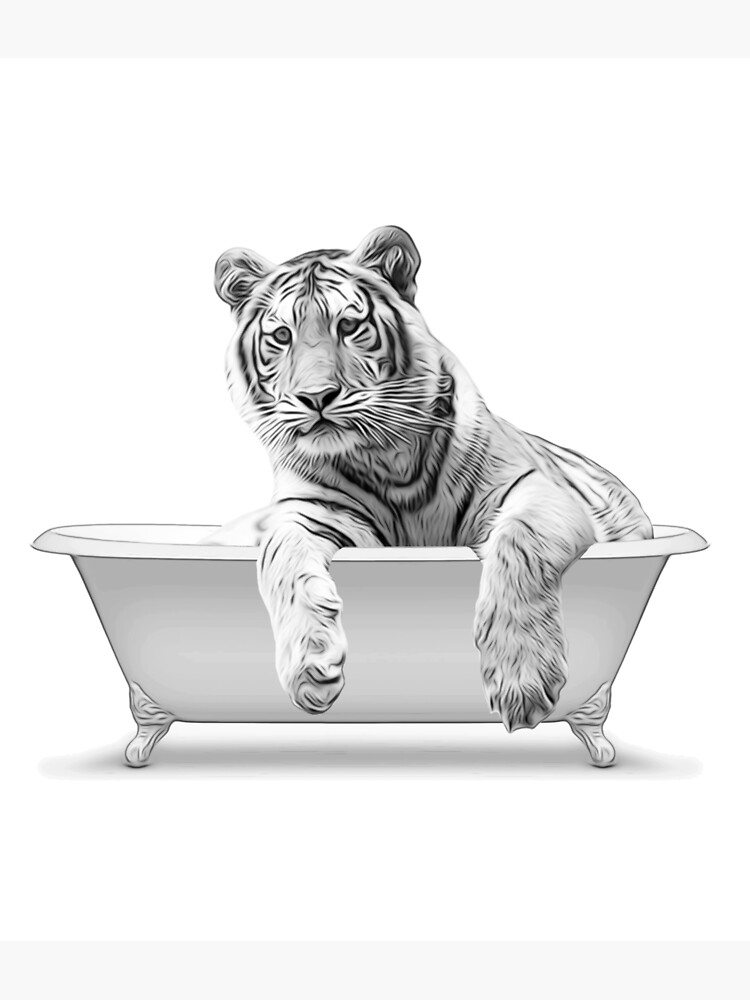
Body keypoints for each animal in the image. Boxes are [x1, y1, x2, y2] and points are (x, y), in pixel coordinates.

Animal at [203, 226, 652, 731]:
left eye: (348, 327)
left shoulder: (531, 489)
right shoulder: (312, 514)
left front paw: (522, 678)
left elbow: (519, 545)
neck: (385, 459)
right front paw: (310, 666)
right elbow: (280, 559)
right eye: (281, 336)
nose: (316, 397)